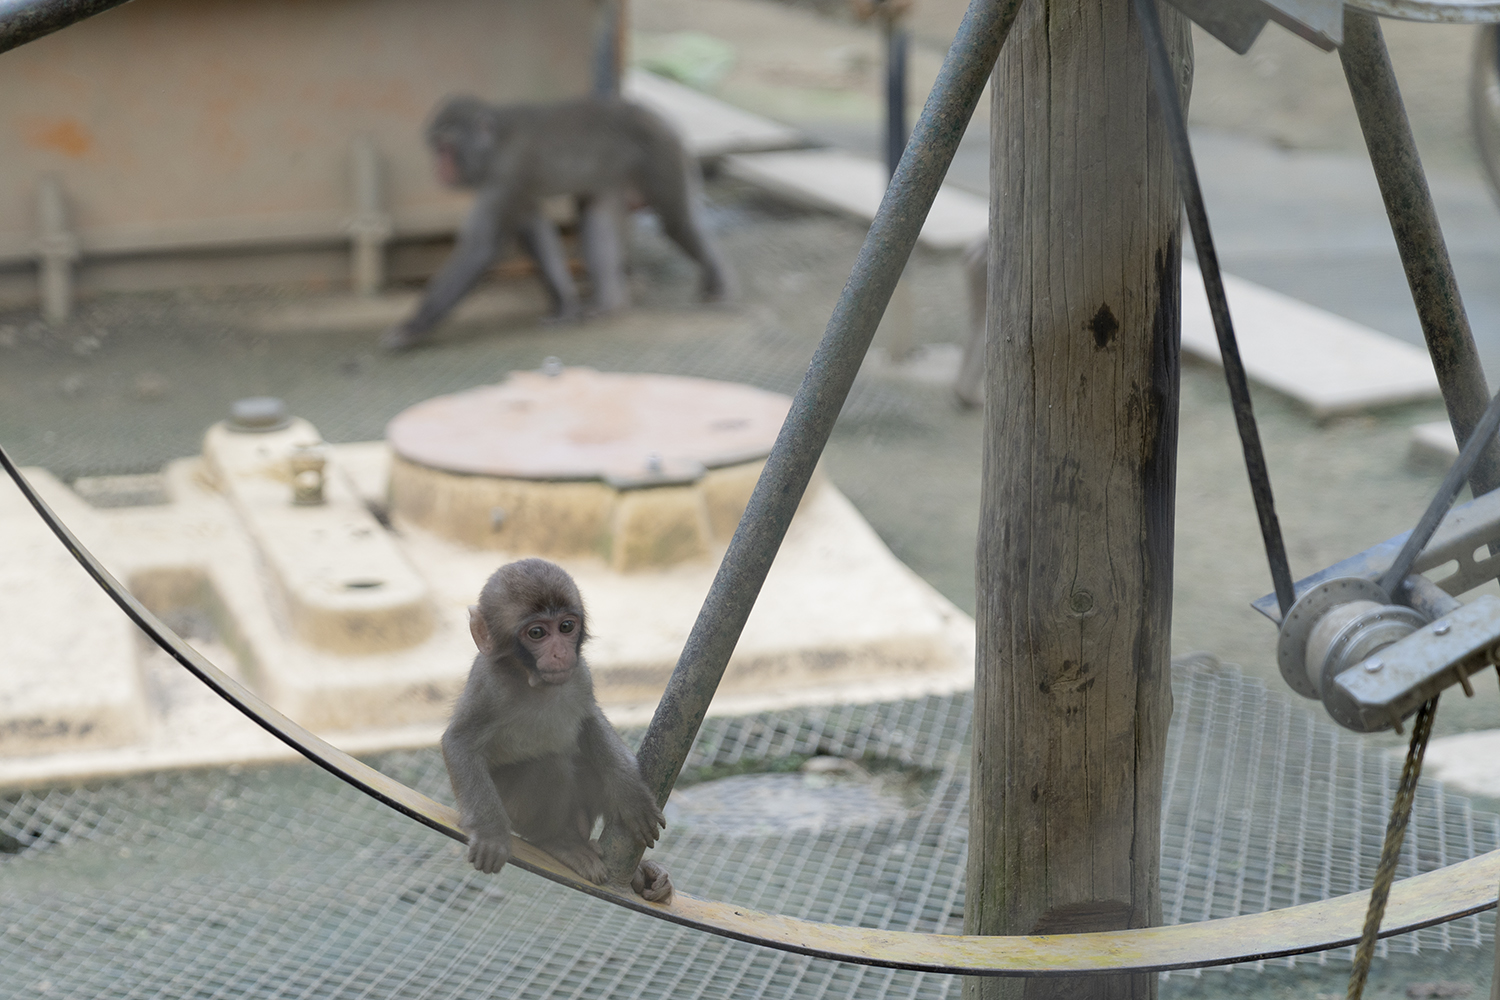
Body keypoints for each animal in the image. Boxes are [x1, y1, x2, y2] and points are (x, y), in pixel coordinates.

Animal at [384, 94, 735, 352]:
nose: (437, 169)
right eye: (435, 146)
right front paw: (565, 305)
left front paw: (411, 328)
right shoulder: (515, 187)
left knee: (677, 224)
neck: (494, 145)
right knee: (595, 218)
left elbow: (481, 247)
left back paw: (719, 282)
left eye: (446, 147)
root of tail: (663, 120)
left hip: (661, 156)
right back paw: (609, 305)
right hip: (615, 177)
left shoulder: (505, 177)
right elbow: (534, 231)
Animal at [441, 560, 672, 905]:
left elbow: (589, 720)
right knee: (549, 766)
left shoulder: (580, 674)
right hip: (514, 808)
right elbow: (459, 743)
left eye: (566, 627)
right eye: (537, 632)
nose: (561, 653)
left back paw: (638, 873)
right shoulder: (489, 685)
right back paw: (558, 843)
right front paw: (491, 833)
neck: (535, 683)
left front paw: (630, 794)